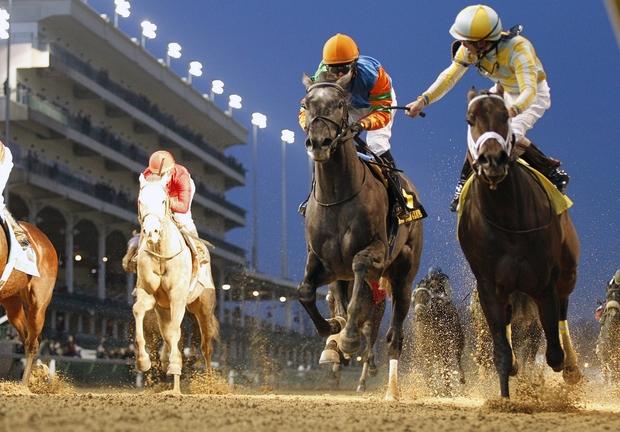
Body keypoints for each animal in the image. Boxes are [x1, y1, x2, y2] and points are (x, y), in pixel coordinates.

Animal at [133, 172, 218, 394]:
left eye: (163, 201)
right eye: (140, 200)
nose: (151, 232)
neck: (161, 252)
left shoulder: (177, 297)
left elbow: (175, 332)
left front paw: (175, 375)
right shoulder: (148, 294)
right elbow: (139, 311)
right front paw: (143, 361)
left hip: (204, 307)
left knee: (206, 346)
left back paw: (210, 384)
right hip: (162, 308)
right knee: (167, 332)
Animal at [460, 88, 580, 398]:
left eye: (505, 116)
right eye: (470, 119)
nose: (492, 160)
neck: (507, 218)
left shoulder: (543, 282)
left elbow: (553, 352)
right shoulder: (490, 287)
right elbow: (502, 354)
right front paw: (506, 398)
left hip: (567, 272)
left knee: (562, 315)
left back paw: (572, 368)